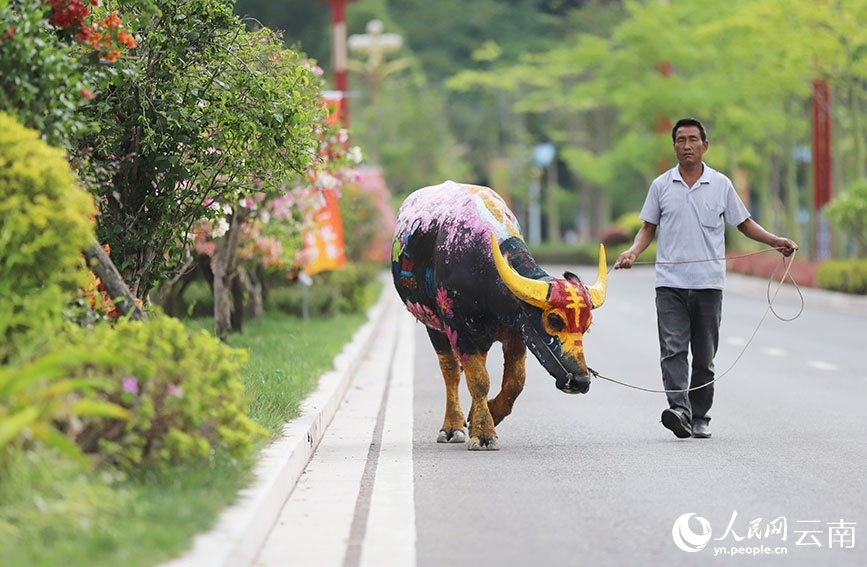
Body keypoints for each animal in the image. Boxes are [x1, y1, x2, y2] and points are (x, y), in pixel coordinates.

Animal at [394, 182, 612, 452]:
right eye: (554, 320)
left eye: (587, 326)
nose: (581, 381)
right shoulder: (458, 328)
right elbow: (478, 380)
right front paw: (484, 434)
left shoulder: (518, 331)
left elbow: (514, 381)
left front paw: (488, 416)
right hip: (432, 324)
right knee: (451, 370)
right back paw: (452, 427)